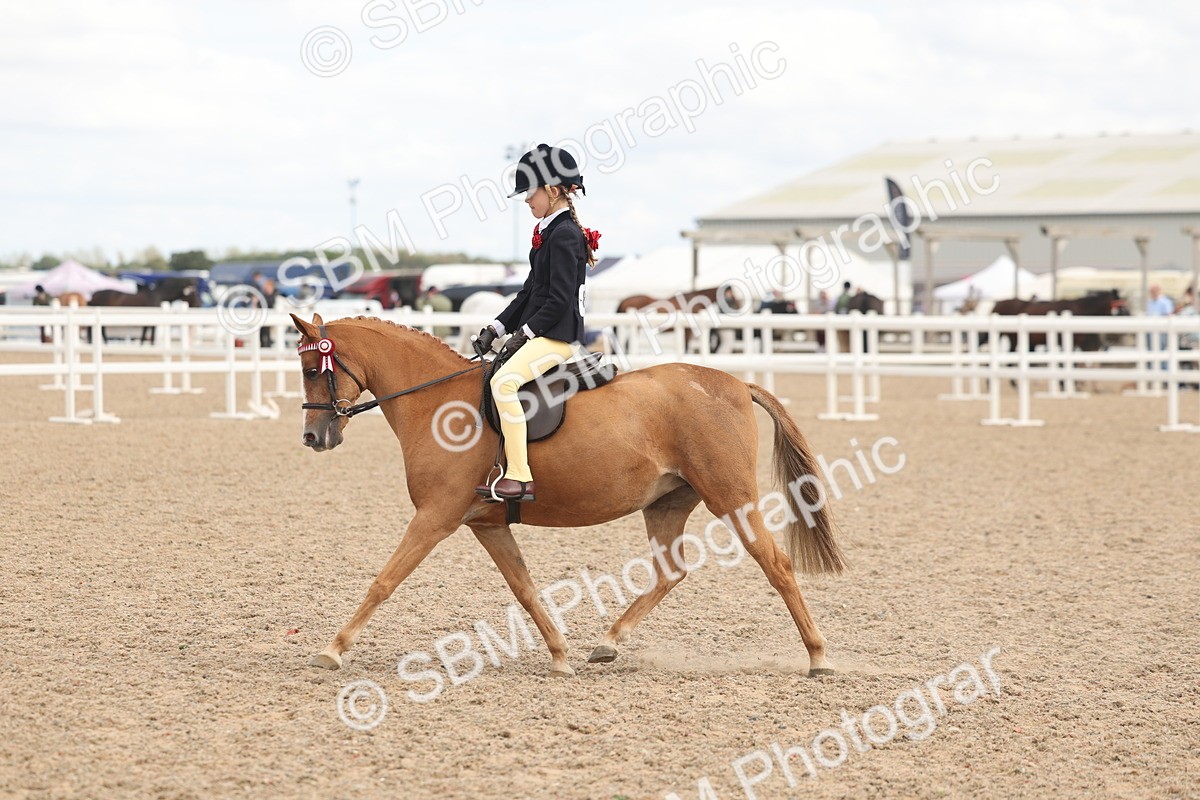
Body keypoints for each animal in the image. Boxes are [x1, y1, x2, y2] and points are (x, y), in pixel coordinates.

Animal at [291, 313, 845, 678]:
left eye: (314, 370)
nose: (314, 437)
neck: (437, 402)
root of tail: (734, 382)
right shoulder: (485, 523)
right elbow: (525, 589)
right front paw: (559, 656)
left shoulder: (435, 517)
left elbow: (384, 581)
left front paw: (333, 649)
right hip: (667, 502)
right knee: (670, 572)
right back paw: (607, 644)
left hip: (730, 496)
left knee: (776, 564)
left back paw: (818, 656)